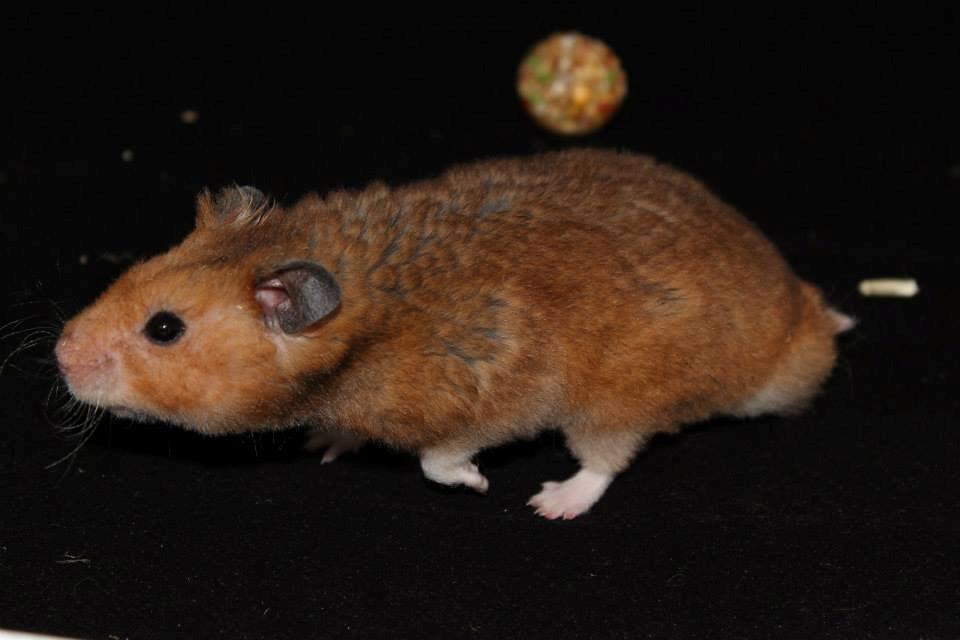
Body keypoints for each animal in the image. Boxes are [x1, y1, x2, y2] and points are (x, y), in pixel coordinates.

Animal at [55, 149, 853, 519]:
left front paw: (478, 483)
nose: (59, 355)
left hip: (616, 398)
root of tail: (799, 326)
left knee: (606, 458)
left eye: (164, 328)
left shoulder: (498, 396)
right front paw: (325, 442)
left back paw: (552, 501)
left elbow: (439, 460)